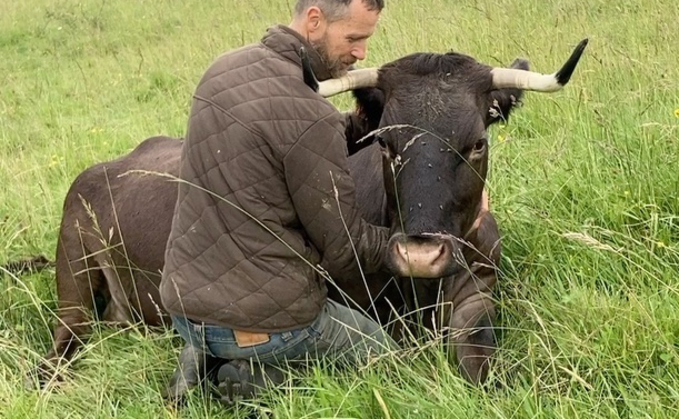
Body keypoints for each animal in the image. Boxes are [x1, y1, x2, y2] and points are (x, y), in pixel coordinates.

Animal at [29, 39, 588, 388]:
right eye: (385, 142)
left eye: (476, 142)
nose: (419, 254)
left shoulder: (477, 293)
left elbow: (482, 370)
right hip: (74, 282)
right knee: (63, 340)